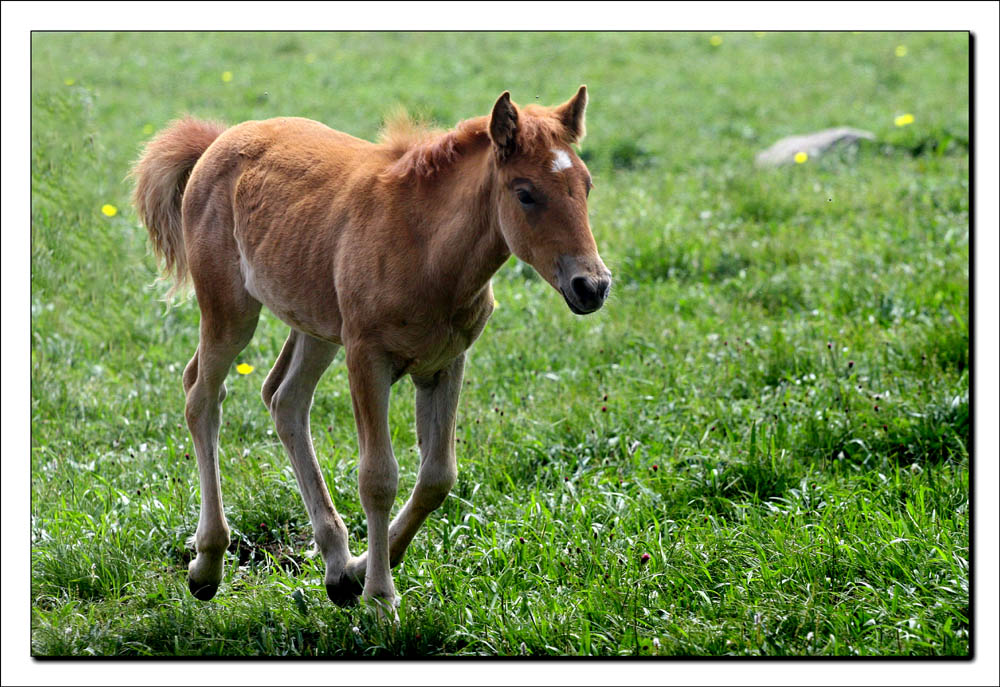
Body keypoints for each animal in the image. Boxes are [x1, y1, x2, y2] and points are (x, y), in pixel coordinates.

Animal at [131, 87, 616, 612]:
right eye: (525, 193)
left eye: (586, 186)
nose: (592, 285)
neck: (427, 250)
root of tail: (219, 140)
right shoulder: (367, 358)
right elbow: (378, 478)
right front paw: (381, 598)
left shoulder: (446, 363)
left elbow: (437, 477)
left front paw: (359, 571)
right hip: (230, 310)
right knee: (202, 397)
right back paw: (208, 564)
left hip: (316, 325)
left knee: (284, 399)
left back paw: (335, 562)